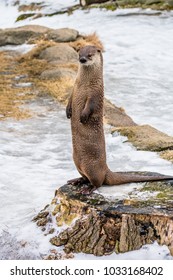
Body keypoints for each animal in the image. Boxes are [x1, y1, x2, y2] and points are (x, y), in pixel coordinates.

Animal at [66, 45, 173, 195]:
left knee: (98, 182)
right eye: (79, 53)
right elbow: (70, 99)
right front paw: (68, 111)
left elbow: (90, 106)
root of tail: (106, 169)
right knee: (85, 177)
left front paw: (83, 116)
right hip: (77, 162)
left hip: (91, 166)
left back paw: (88, 188)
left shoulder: (95, 94)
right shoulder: (74, 87)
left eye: (90, 55)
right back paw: (76, 180)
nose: (82, 59)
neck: (84, 84)